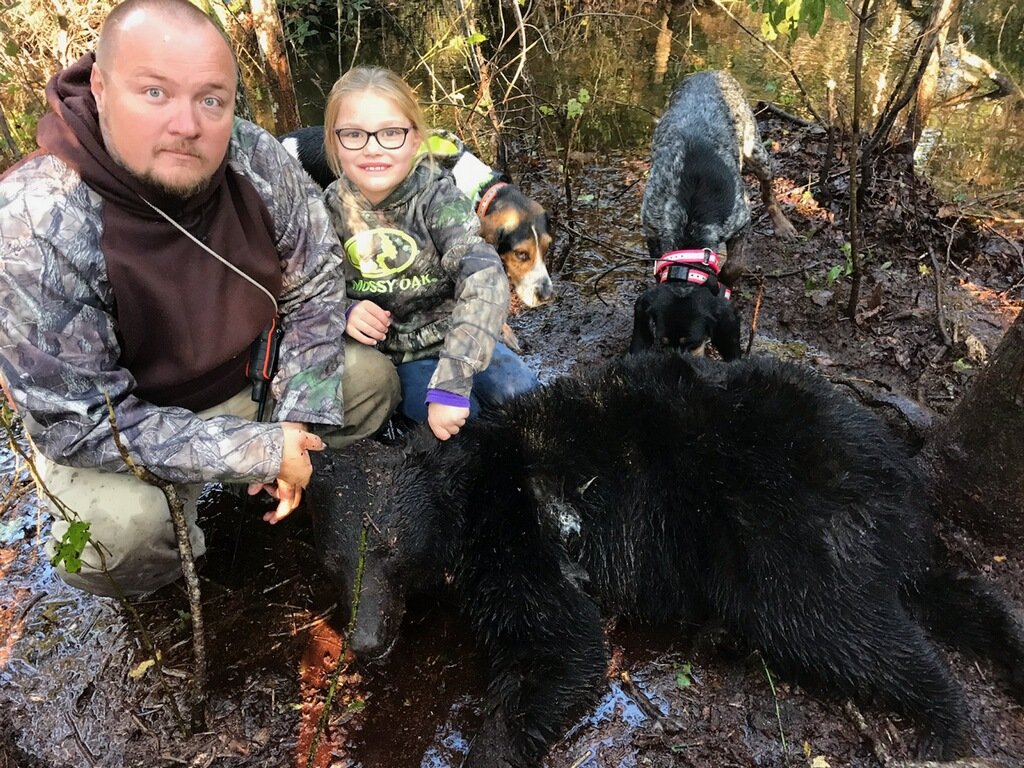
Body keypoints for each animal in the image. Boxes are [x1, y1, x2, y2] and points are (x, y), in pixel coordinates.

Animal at [305, 351, 1024, 767]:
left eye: (388, 550)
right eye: (337, 567)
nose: (365, 641)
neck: (471, 484)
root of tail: (891, 470)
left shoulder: (517, 535)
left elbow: (563, 648)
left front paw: (490, 748)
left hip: (781, 521)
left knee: (835, 622)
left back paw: (943, 720)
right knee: (941, 592)